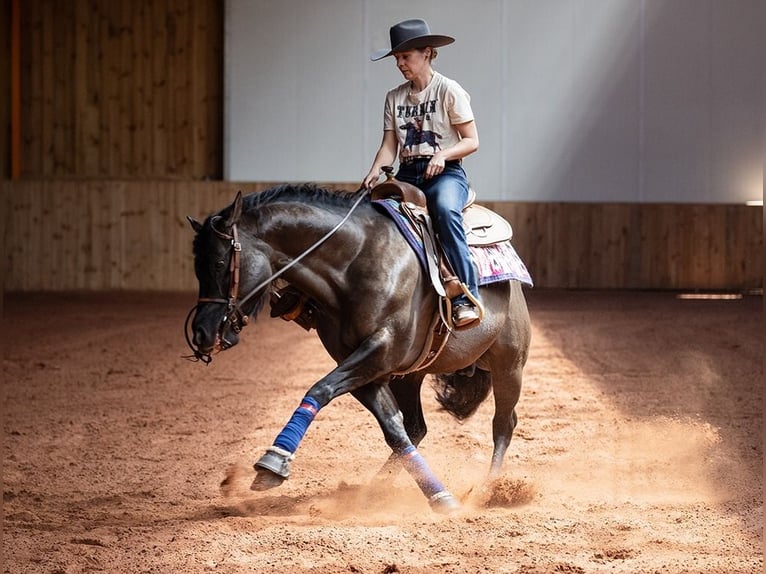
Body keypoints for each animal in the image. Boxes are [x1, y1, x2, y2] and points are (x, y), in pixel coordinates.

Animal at [186, 183, 531, 513]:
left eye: (219, 263)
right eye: (196, 268)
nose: (202, 332)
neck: (356, 261)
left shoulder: (380, 349)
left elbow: (320, 389)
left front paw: (274, 461)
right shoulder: (367, 366)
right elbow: (393, 429)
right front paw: (436, 497)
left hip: (509, 364)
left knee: (504, 424)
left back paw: (487, 490)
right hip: (410, 376)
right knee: (416, 427)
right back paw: (376, 490)